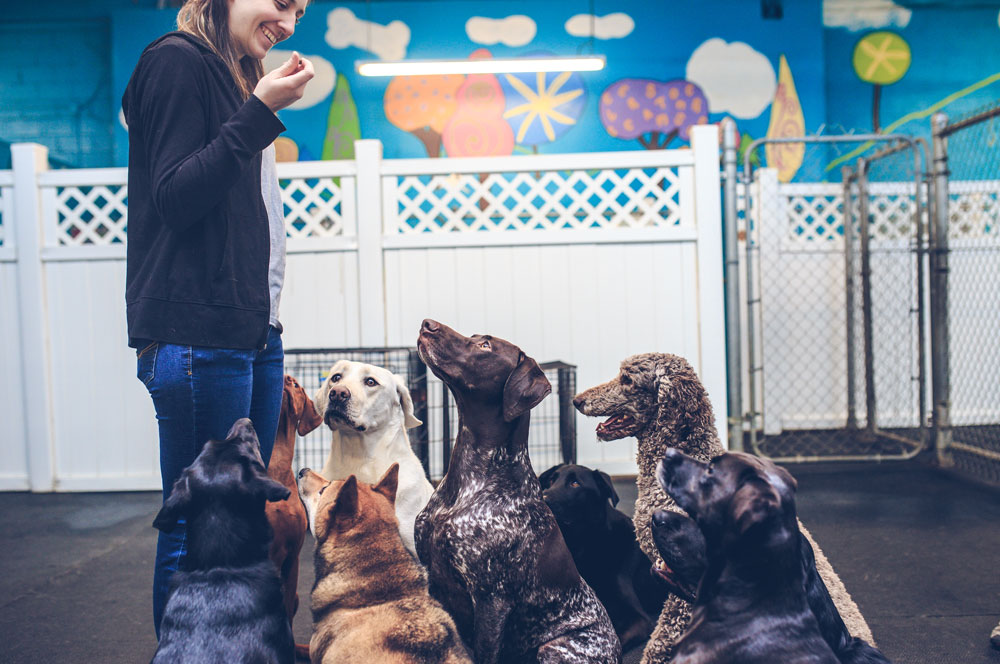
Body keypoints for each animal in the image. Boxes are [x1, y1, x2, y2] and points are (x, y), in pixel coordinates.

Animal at [536, 464, 668, 652]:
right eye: (551, 481)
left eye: (575, 484)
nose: (541, 500)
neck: (586, 546)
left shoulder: (638, 618)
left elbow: (616, 641)